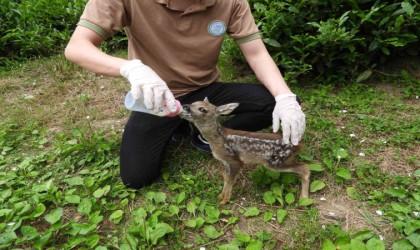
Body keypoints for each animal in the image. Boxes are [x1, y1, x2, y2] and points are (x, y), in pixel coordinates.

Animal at [179, 98, 310, 205]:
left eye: (202, 109)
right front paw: (221, 195)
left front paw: (225, 200)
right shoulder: (225, 162)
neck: (217, 140)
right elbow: (225, 176)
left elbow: (230, 180)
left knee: (305, 167)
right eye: (193, 102)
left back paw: (304, 199)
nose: (184, 106)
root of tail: (300, 143)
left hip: (276, 161)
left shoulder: (235, 160)